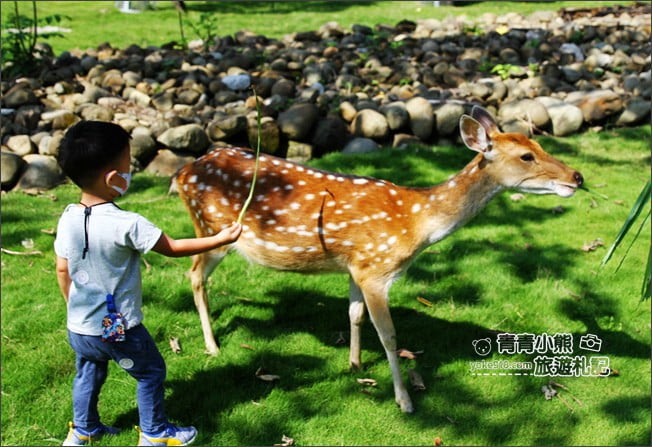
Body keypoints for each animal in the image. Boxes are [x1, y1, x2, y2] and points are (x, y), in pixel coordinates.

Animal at [175, 106, 583, 413]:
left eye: (536, 142)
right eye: (526, 156)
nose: (577, 177)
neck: (416, 224)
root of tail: (182, 172)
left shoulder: (356, 265)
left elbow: (354, 314)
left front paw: (354, 364)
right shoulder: (377, 269)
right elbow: (389, 335)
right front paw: (404, 400)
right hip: (212, 228)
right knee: (193, 273)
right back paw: (212, 346)